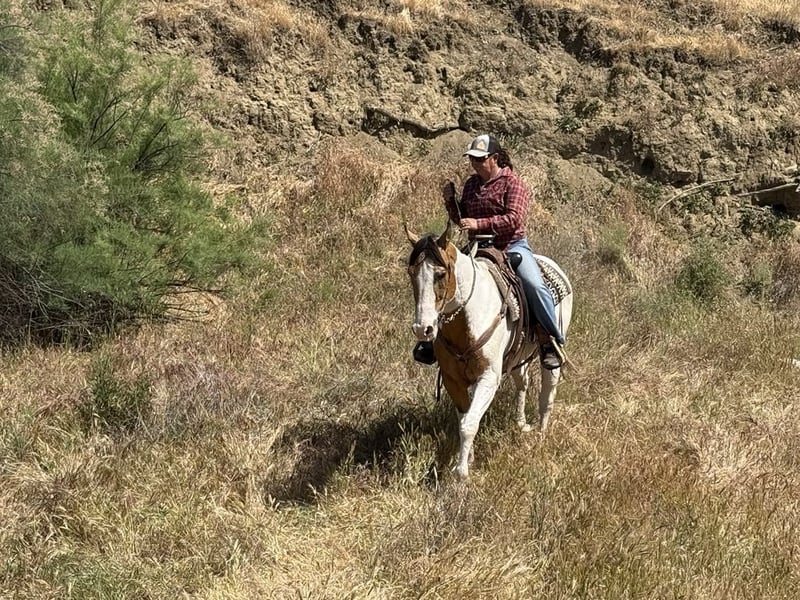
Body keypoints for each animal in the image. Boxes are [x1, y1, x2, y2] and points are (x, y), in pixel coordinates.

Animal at [405, 221, 573, 480]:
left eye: (440, 274)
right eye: (411, 273)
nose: (423, 329)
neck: (469, 317)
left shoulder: (488, 378)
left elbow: (469, 424)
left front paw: (461, 473)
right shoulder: (454, 380)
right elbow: (465, 418)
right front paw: (469, 458)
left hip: (552, 350)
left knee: (548, 391)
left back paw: (541, 433)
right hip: (517, 358)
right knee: (522, 383)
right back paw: (520, 423)